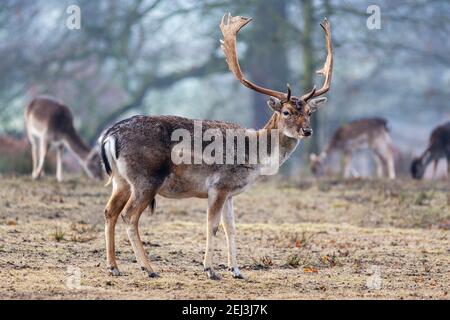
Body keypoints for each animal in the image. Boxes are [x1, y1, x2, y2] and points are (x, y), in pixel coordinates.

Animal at [100, 14, 334, 280]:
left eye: (308, 113)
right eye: (286, 112)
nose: (307, 131)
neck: (255, 156)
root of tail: (109, 136)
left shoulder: (230, 192)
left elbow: (230, 228)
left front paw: (237, 270)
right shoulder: (218, 186)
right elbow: (211, 226)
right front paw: (210, 269)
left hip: (121, 180)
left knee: (109, 212)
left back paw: (114, 267)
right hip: (146, 178)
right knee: (129, 216)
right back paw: (148, 268)